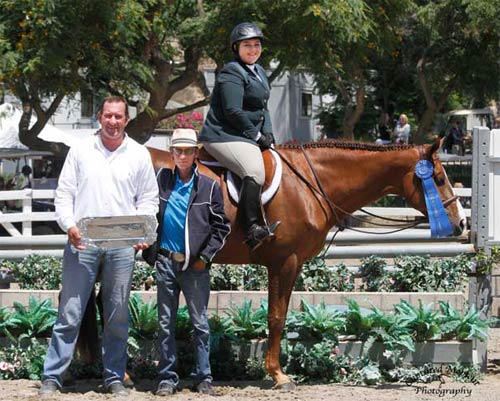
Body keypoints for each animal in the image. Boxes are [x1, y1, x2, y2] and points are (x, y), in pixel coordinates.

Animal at [146, 139, 466, 390]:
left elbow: (282, 314)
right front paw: (278, 375)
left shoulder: (293, 263)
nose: (461, 223)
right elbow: (276, 317)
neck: (308, 184)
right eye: (438, 179)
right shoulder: (283, 262)